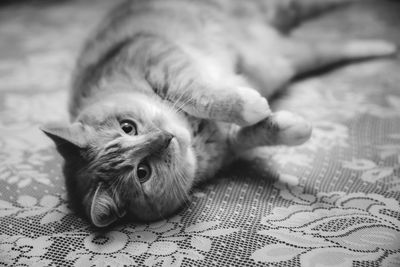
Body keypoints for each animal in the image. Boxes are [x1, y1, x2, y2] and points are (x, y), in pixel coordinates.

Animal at [41, 0, 396, 228]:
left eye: (128, 127)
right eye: (142, 173)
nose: (165, 139)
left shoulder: (161, 57)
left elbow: (195, 92)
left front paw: (246, 103)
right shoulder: (230, 145)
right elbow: (255, 133)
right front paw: (289, 125)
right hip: (286, 50)